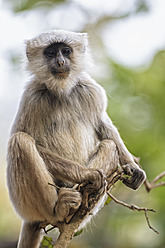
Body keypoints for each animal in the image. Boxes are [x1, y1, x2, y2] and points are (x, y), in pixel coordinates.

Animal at [6, 30, 146, 248]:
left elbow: (104, 127)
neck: (62, 92)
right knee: (19, 141)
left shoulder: (90, 89)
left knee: (109, 145)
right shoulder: (32, 96)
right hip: (27, 206)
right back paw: (59, 210)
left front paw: (132, 167)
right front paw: (88, 174)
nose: (61, 61)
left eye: (66, 51)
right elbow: (21, 137)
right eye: (51, 52)